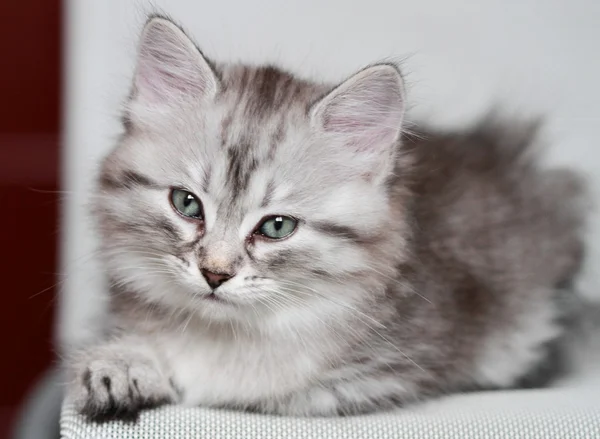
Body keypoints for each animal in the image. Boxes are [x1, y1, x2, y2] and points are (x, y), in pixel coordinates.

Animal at [65, 16, 584, 422]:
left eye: (277, 227)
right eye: (187, 204)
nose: (214, 273)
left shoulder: (369, 377)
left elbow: (243, 386)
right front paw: (121, 364)